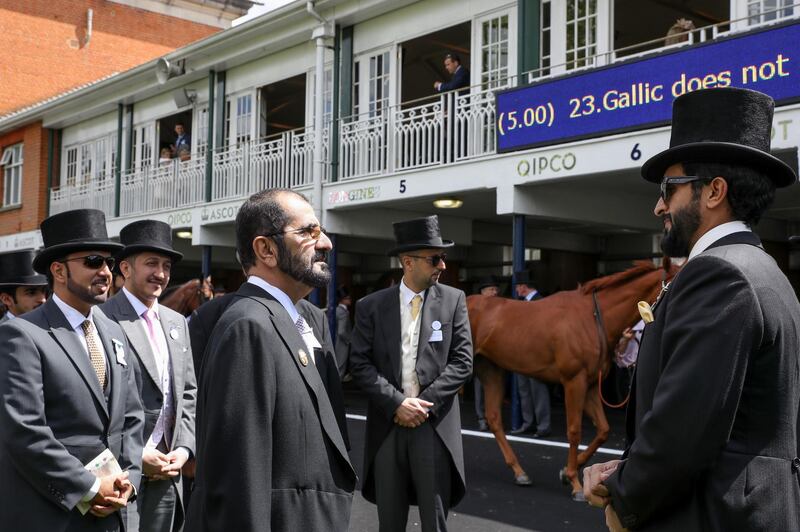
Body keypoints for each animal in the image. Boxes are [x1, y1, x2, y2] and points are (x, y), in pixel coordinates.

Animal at [466, 260, 680, 500]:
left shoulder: (590, 385)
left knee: (494, 418)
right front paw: (575, 482)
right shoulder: (573, 381)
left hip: (491, 370)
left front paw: (569, 472)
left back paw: (519, 472)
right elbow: (575, 431)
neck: (593, 317)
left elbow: (603, 430)